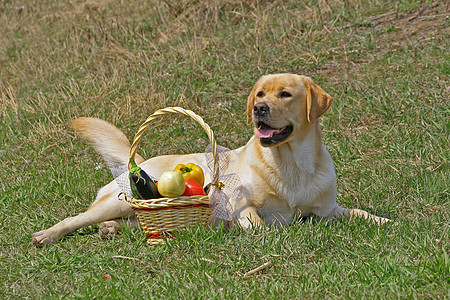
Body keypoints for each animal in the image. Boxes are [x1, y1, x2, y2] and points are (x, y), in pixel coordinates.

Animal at [32, 73, 390, 246]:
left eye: (285, 94)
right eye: (261, 94)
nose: (259, 109)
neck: (291, 164)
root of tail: (140, 162)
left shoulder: (328, 211)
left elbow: (359, 213)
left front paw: (385, 221)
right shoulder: (242, 206)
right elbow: (261, 225)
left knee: (133, 223)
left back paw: (110, 230)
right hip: (114, 202)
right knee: (77, 218)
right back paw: (47, 235)